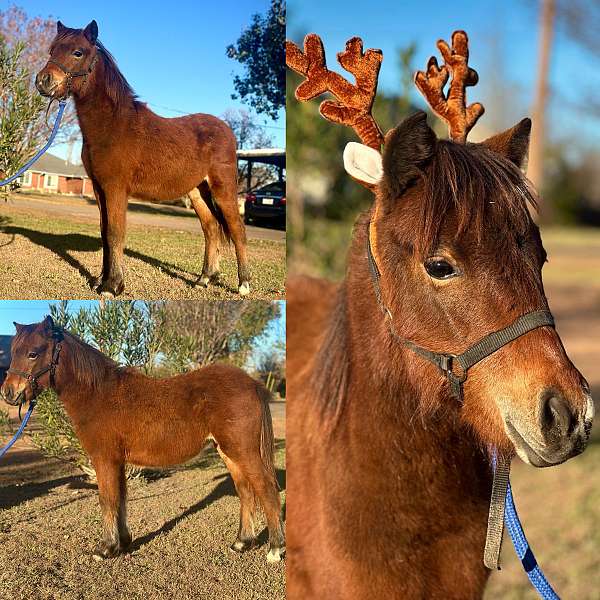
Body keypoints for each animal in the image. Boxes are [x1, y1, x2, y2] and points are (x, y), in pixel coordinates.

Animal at [0, 318, 284, 564]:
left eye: (33, 353)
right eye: (13, 352)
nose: (8, 393)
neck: (98, 394)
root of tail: (252, 383)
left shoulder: (104, 460)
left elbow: (107, 500)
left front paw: (105, 549)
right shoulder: (117, 462)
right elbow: (120, 498)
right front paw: (124, 543)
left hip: (243, 451)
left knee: (266, 489)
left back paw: (275, 549)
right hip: (228, 451)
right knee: (245, 491)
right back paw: (242, 542)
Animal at [34, 21, 250, 298]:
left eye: (78, 52)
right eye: (51, 50)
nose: (43, 81)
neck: (112, 126)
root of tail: (227, 130)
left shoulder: (115, 188)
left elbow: (115, 233)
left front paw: (112, 286)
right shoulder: (99, 188)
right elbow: (104, 232)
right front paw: (101, 281)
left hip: (223, 189)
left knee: (237, 229)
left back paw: (243, 285)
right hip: (197, 192)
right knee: (211, 228)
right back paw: (203, 279)